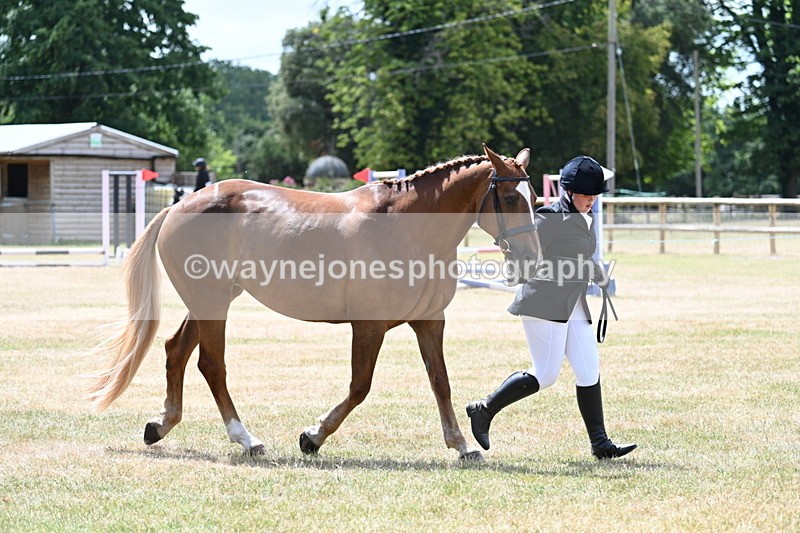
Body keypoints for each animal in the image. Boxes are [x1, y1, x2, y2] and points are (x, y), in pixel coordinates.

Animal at [87, 144, 540, 461]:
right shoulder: (369, 326)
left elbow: (440, 383)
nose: (532, 257)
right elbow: (360, 387)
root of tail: (180, 205)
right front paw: (312, 437)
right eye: (511, 199)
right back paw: (246, 439)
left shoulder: (429, 322)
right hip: (212, 302)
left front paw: (463, 445)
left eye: (535, 197)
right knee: (211, 365)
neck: (406, 227)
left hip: (210, 300)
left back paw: (161, 425)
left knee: (176, 351)